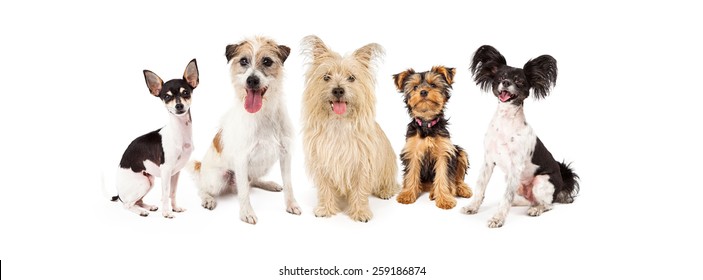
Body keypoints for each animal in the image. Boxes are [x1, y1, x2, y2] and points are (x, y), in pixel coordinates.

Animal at [302, 35, 402, 223]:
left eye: (351, 78)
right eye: (326, 77)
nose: (338, 90)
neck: (339, 123)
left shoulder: (362, 164)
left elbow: (360, 190)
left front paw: (360, 212)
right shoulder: (322, 161)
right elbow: (325, 188)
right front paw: (325, 208)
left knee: (391, 183)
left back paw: (386, 190)